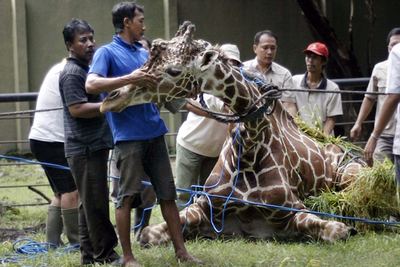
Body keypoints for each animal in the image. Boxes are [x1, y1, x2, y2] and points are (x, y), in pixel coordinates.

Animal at [101, 22, 362, 246]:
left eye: (173, 70)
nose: (110, 99)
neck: (249, 147)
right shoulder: (205, 209)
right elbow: (147, 234)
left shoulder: (294, 209)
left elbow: (340, 231)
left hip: (351, 171)